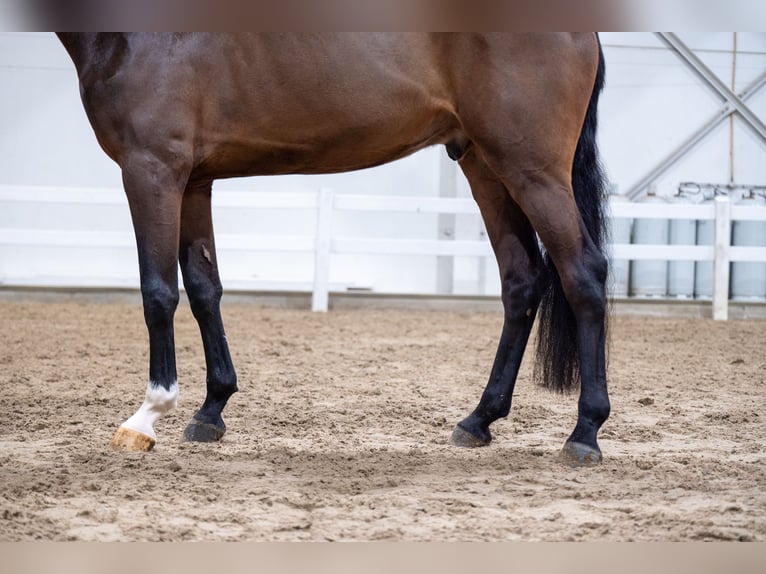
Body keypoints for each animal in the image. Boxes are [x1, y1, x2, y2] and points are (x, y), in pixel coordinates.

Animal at [57, 32, 612, 468]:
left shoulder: (152, 170)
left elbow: (158, 294)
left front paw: (147, 417)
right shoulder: (194, 181)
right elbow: (203, 289)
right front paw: (212, 409)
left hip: (532, 169)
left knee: (583, 274)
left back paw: (584, 433)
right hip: (485, 164)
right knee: (522, 281)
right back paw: (479, 420)